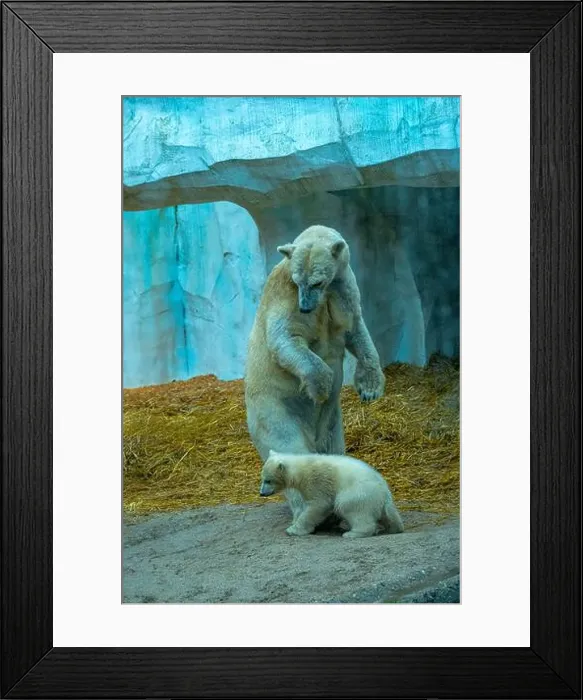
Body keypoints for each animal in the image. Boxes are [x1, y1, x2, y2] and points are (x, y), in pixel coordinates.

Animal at [244, 225, 385, 522]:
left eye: (318, 282)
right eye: (299, 281)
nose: (306, 306)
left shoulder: (344, 288)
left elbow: (356, 330)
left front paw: (370, 387)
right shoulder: (285, 298)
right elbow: (286, 337)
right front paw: (320, 387)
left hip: (333, 426)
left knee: (334, 451)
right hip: (274, 409)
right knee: (289, 447)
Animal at [259, 450, 404, 538]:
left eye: (268, 480)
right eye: (262, 478)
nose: (261, 493)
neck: (303, 467)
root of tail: (385, 493)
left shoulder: (318, 480)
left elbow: (319, 504)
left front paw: (294, 529)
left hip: (359, 494)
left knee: (349, 507)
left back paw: (352, 533)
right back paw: (391, 528)